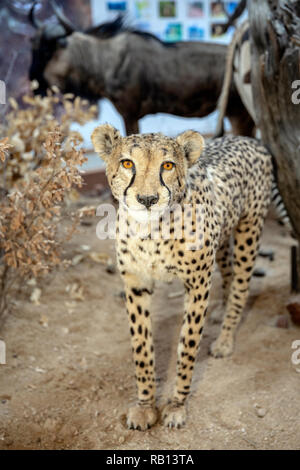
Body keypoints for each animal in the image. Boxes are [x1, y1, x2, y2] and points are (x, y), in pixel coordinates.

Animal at [91, 124, 274, 430]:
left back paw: (225, 339)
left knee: (241, 284)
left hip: (249, 230)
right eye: (127, 164)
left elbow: (187, 347)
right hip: (222, 237)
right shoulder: (135, 284)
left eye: (167, 165)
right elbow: (141, 348)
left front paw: (176, 405)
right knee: (227, 269)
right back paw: (221, 310)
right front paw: (145, 406)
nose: (148, 199)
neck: (151, 231)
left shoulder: (197, 285)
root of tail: (246, 138)